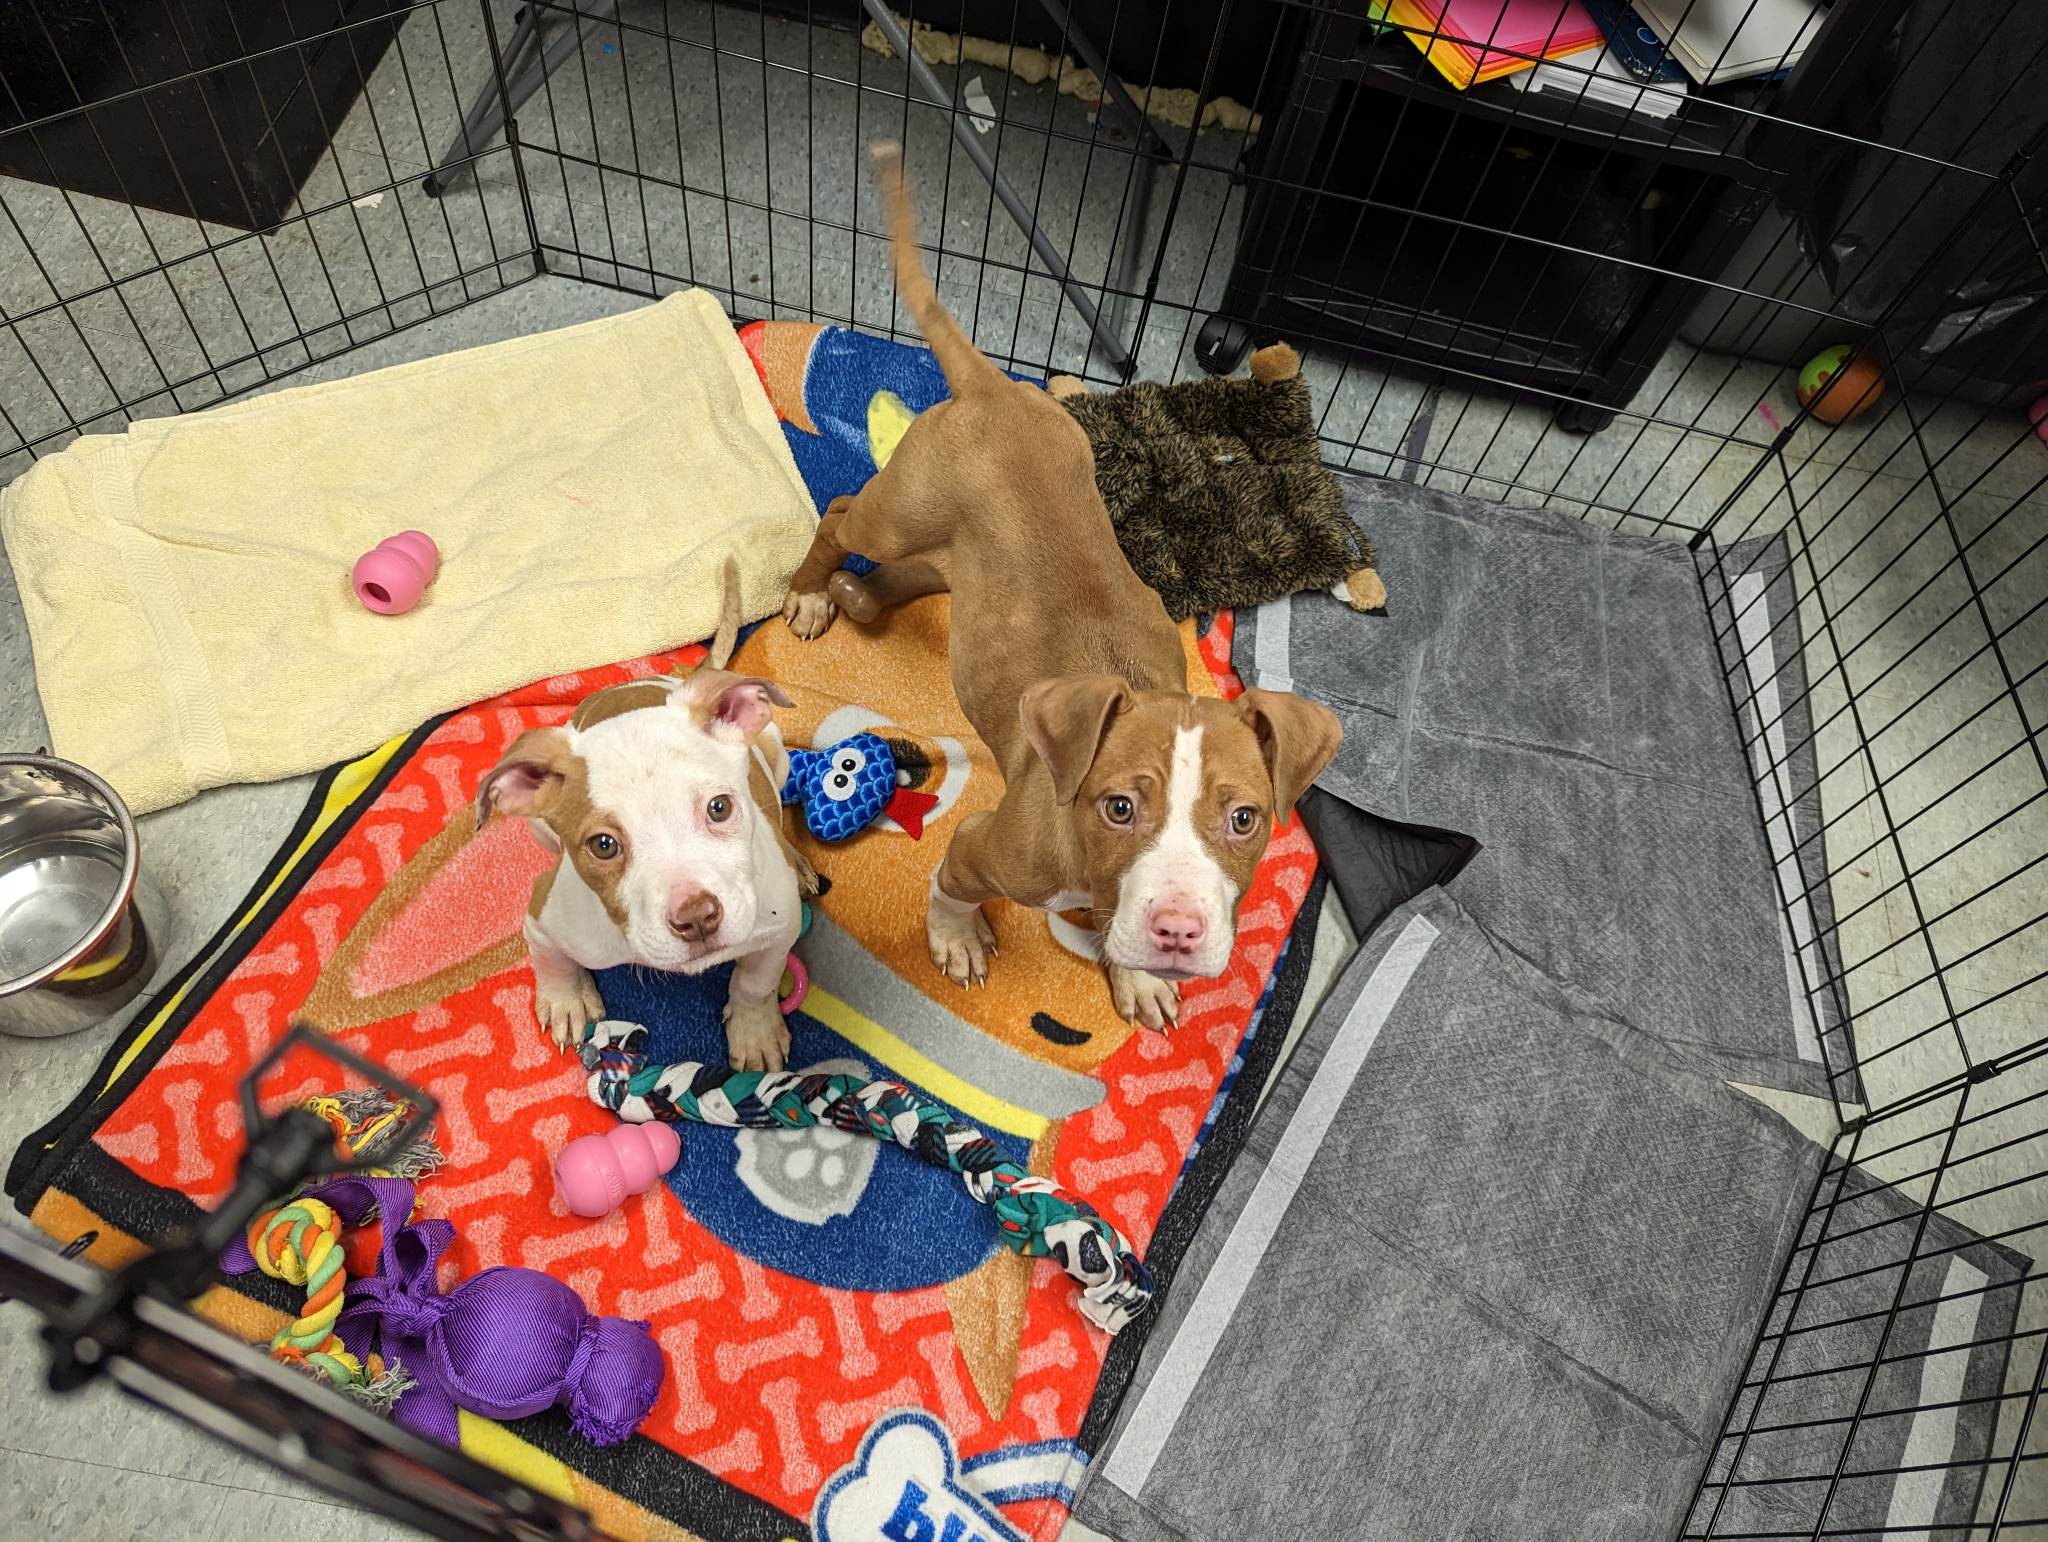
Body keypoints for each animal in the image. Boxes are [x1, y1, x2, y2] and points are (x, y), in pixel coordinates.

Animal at [471, 667, 806, 1073]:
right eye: (604, 845)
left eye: (720, 807)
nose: (697, 918)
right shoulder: (545, 914)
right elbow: (549, 957)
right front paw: (565, 998)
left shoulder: (781, 926)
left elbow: (756, 982)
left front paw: (755, 1030)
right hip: (540, 830)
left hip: (776, 751)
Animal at [778, 144, 1343, 1028]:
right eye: (1119, 807)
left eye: (1244, 818)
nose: (1178, 930)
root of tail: (993, 387)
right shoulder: (981, 843)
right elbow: (953, 887)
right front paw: (957, 940)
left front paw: (1137, 975)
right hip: (897, 512)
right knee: (840, 516)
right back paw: (812, 591)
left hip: (981, 540)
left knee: (936, 573)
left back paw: (863, 597)